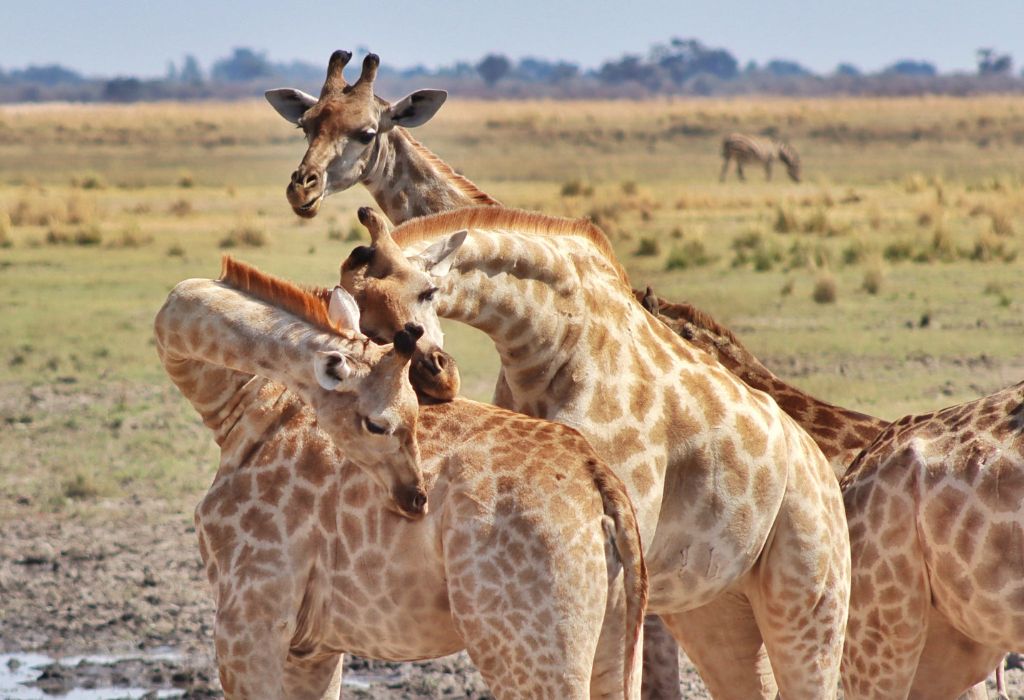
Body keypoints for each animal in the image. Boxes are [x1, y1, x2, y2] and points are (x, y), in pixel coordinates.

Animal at [151, 257, 647, 700]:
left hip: (527, 651)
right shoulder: (311, 647)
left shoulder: (250, 619)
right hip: (613, 641)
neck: (238, 403)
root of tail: (600, 480)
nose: (416, 499)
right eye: (379, 424)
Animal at [335, 207, 847, 700]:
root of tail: (820, 466)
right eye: (361, 320)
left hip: (808, 599)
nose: (435, 373)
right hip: (717, 606)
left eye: (429, 291)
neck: (551, 341)